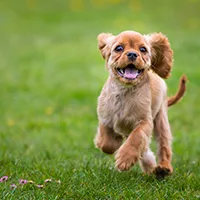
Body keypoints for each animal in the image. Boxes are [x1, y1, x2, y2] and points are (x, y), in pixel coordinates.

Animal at [94, 30, 186, 177]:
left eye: (143, 49)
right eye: (119, 48)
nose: (132, 54)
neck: (125, 91)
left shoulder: (145, 121)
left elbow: (136, 138)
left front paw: (125, 159)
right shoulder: (105, 117)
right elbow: (106, 143)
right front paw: (115, 142)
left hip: (161, 119)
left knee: (164, 146)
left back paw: (163, 168)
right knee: (145, 148)